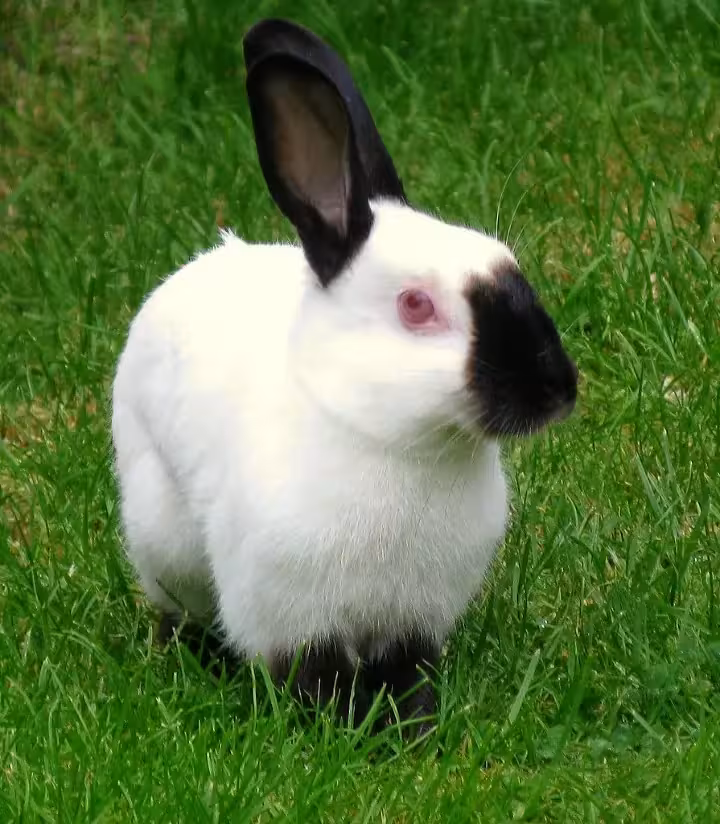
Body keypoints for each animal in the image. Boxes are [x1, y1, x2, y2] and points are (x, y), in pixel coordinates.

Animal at [111, 18, 578, 732]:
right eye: (416, 306)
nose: (558, 389)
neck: (393, 442)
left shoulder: (414, 619)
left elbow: (407, 676)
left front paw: (413, 728)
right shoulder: (291, 618)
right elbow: (314, 679)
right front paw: (336, 729)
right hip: (162, 538)